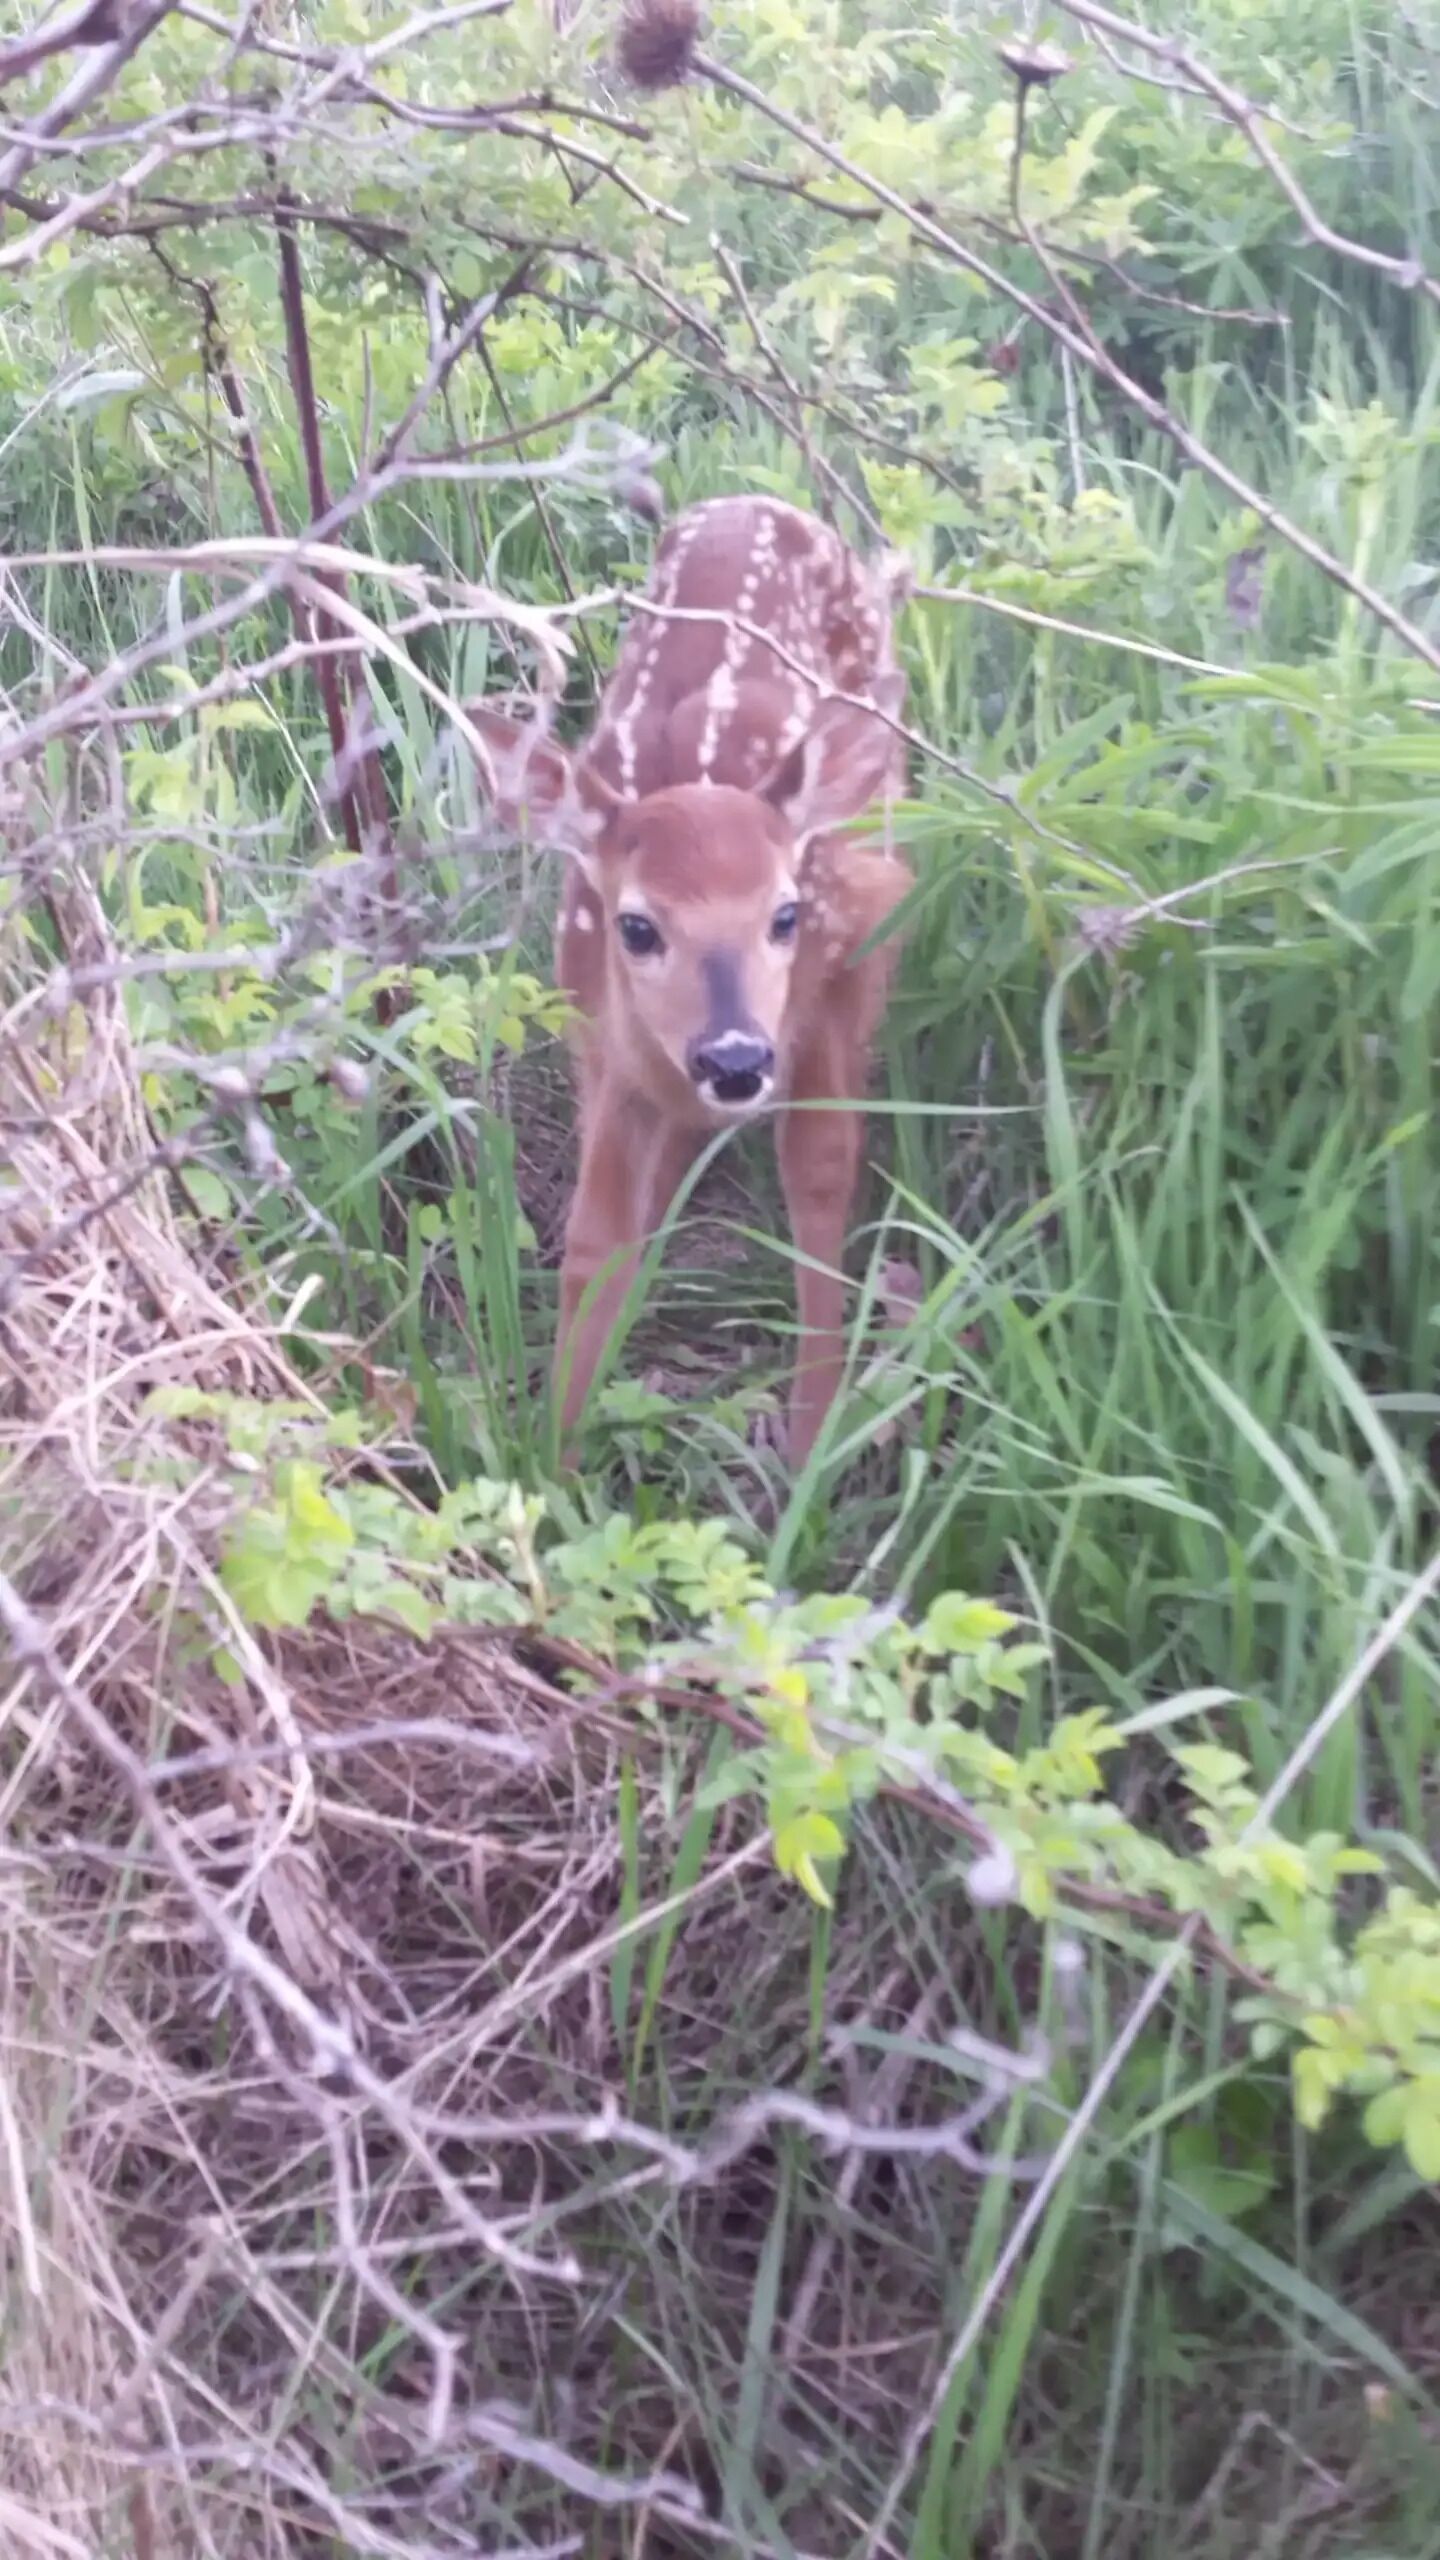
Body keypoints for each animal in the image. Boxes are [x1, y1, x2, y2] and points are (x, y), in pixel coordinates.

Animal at [468, 494, 911, 1467]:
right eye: (637, 924)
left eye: (786, 914)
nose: (735, 1057)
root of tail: (755, 502)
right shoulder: (601, 1039)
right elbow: (594, 1237)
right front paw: (554, 1458)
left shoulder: (837, 981)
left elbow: (820, 1177)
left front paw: (811, 1443)